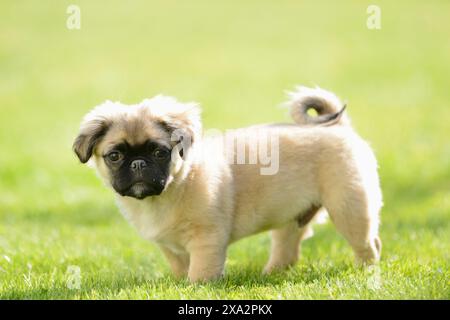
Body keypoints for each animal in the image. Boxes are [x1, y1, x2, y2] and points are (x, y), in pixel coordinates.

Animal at [74, 86, 384, 282]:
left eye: (160, 152)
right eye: (115, 156)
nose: (138, 163)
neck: (167, 193)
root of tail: (338, 127)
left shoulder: (207, 239)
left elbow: (200, 272)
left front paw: (196, 287)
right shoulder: (170, 247)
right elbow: (180, 267)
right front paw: (179, 284)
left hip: (349, 210)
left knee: (368, 244)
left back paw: (365, 271)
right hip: (291, 218)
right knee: (288, 249)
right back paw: (271, 273)